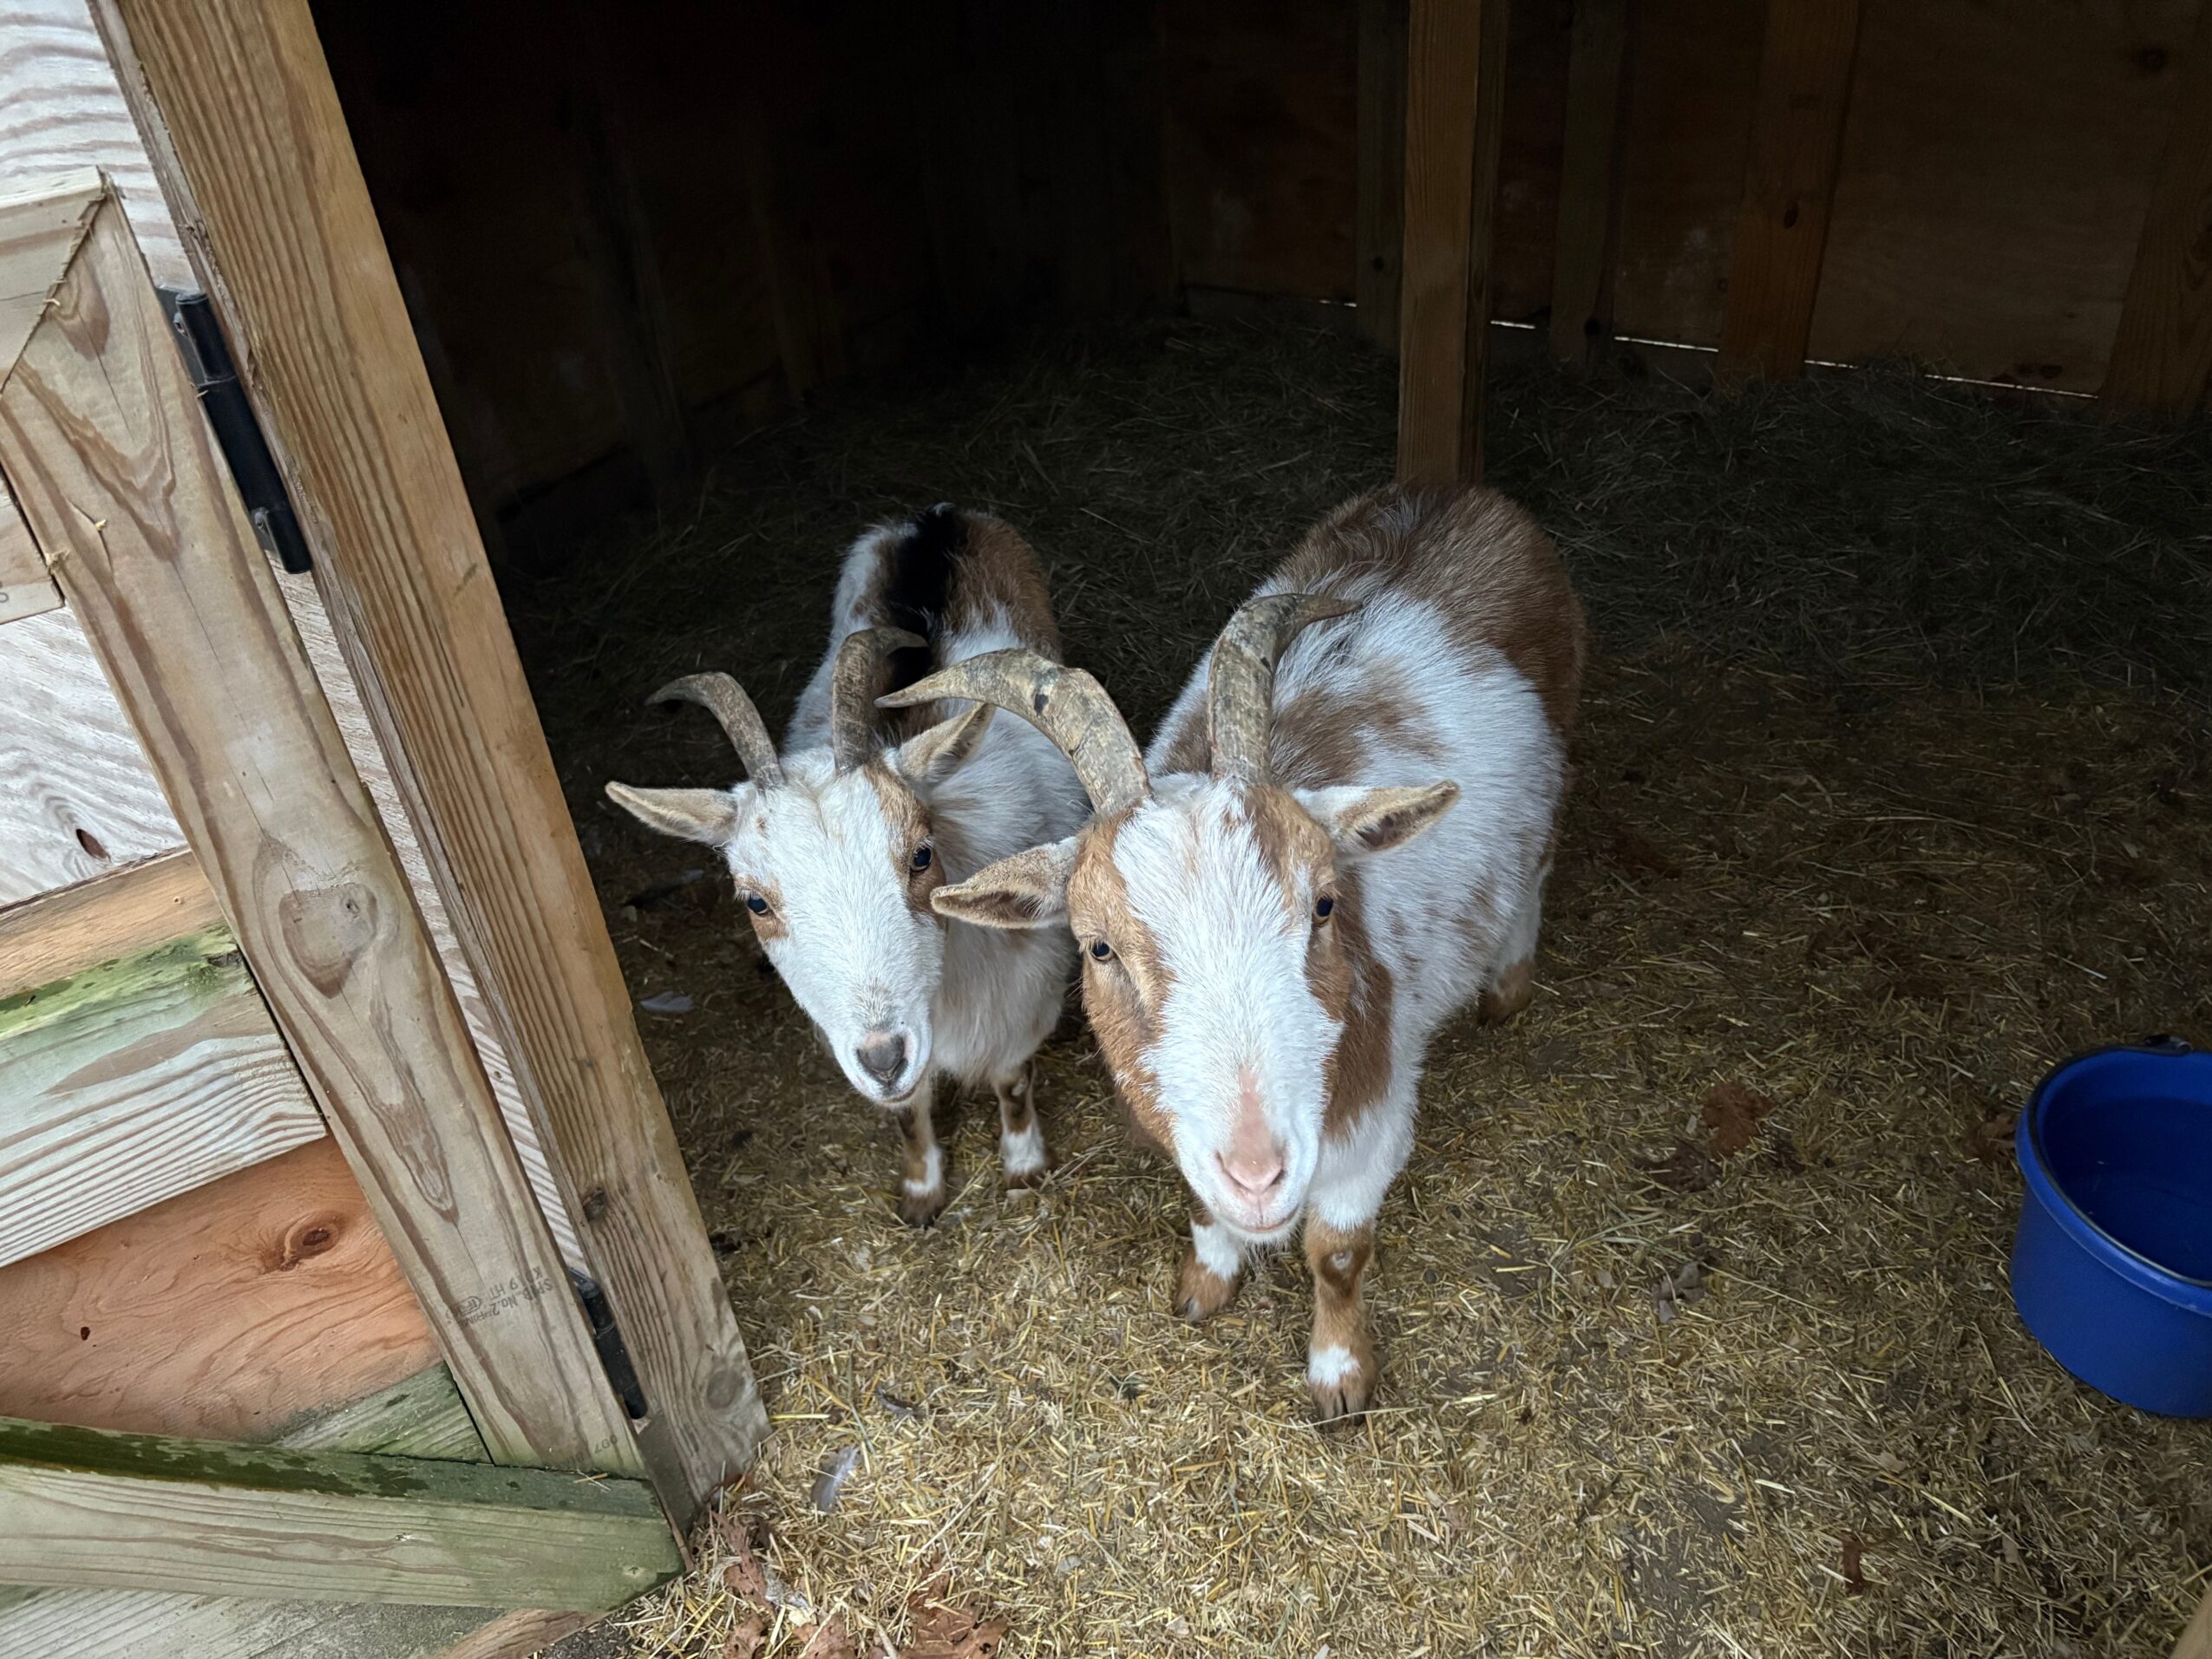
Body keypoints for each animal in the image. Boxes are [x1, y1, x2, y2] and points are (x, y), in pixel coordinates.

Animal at [607, 505, 1088, 1224]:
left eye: (921, 854)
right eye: (755, 900)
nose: (884, 1057)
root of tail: (935, 517)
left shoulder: (1022, 1003)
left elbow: (1012, 1080)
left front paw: (1025, 1165)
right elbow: (909, 1111)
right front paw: (921, 1190)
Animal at [886, 484, 1585, 1414]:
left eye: (1325, 902)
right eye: (1098, 947)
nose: (1259, 1174)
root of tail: (1462, 493)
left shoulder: (1372, 1119)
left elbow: (1336, 1251)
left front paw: (1339, 1375)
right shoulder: (1180, 1123)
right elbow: (1202, 1208)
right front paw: (1206, 1283)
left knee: (1537, 868)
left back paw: (1507, 987)